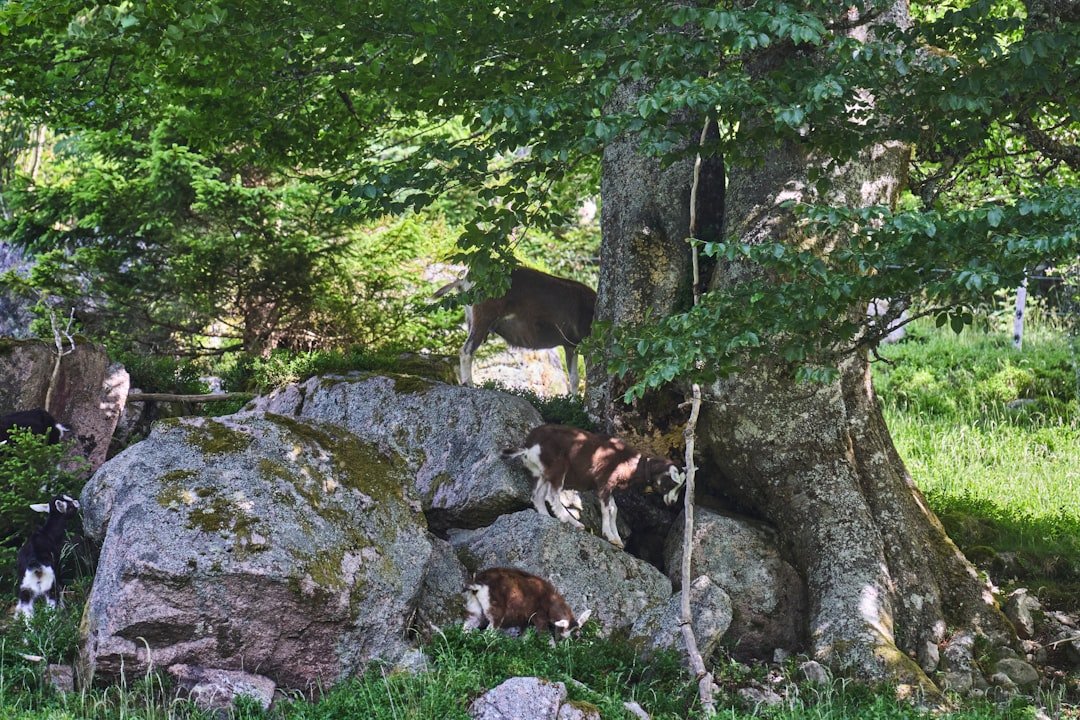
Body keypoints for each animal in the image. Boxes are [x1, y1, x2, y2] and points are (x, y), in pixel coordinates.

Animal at [433, 266, 596, 391]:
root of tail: (465, 281)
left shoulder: (570, 345)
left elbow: (574, 378)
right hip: (483, 319)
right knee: (466, 351)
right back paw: (469, 384)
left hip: (471, 321)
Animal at [463, 566, 591, 640]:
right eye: (563, 636)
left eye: (577, 636)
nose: (564, 652)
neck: (549, 599)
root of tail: (478, 583)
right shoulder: (539, 616)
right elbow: (546, 636)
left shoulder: (525, 621)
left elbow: (524, 637)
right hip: (495, 611)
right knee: (489, 630)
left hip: (474, 608)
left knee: (467, 626)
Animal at [502, 424, 685, 548]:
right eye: (672, 481)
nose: (672, 502)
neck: (628, 461)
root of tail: (528, 446)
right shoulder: (604, 482)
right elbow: (606, 510)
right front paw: (609, 535)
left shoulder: (609, 487)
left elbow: (614, 509)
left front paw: (618, 540)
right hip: (558, 468)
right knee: (552, 496)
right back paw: (573, 522)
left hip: (540, 473)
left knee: (538, 496)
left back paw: (546, 517)